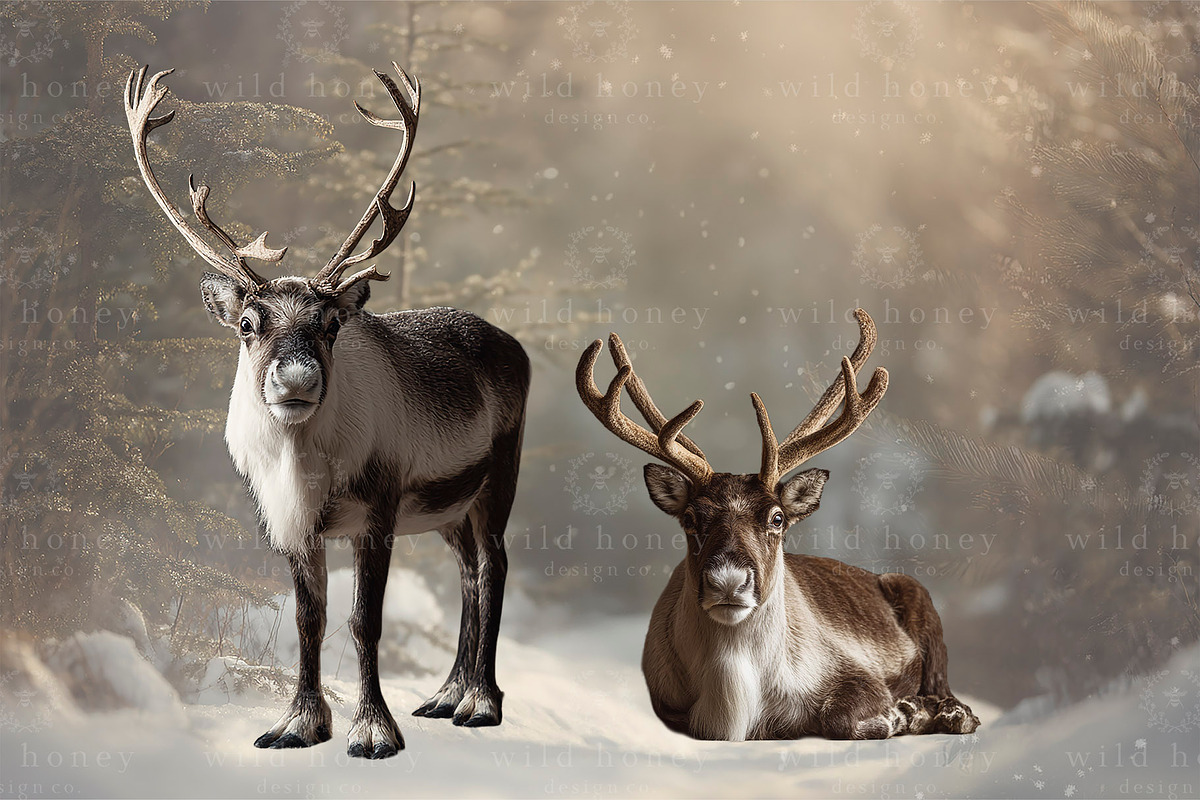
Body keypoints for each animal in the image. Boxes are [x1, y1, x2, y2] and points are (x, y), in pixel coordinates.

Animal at [124, 64, 530, 758]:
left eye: (331, 323)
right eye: (247, 324)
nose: (296, 379)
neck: (306, 468)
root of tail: (515, 345)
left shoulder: (381, 508)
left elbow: (364, 620)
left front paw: (373, 733)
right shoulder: (290, 521)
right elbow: (308, 618)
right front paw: (298, 724)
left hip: (498, 477)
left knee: (494, 566)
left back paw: (480, 703)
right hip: (451, 506)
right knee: (468, 574)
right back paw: (446, 696)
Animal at [576, 310, 979, 742]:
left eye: (777, 517)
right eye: (689, 518)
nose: (728, 581)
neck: (734, 704)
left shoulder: (857, 671)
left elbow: (841, 716)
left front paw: (901, 714)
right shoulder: (665, 699)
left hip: (921, 605)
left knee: (950, 694)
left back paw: (946, 714)